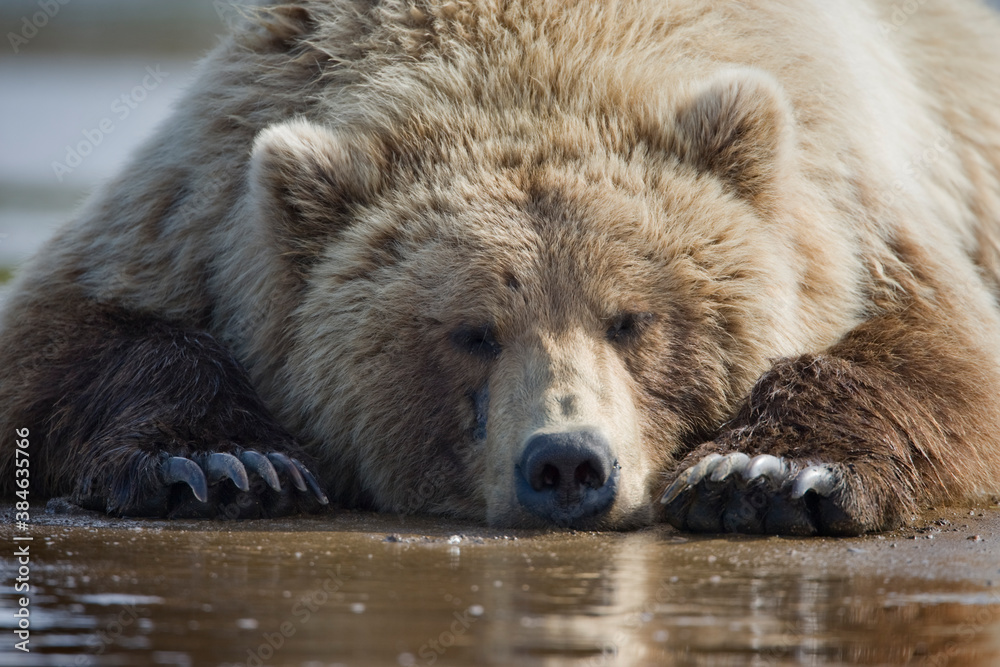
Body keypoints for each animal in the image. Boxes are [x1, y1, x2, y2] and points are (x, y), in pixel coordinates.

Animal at [1, 0, 1000, 535]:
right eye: (470, 331)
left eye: (632, 317)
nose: (567, 463)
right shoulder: (200, 198)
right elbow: (61, 343)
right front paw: (225, 461)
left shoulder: (858, 201)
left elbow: (945, 354)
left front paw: (765, 473)